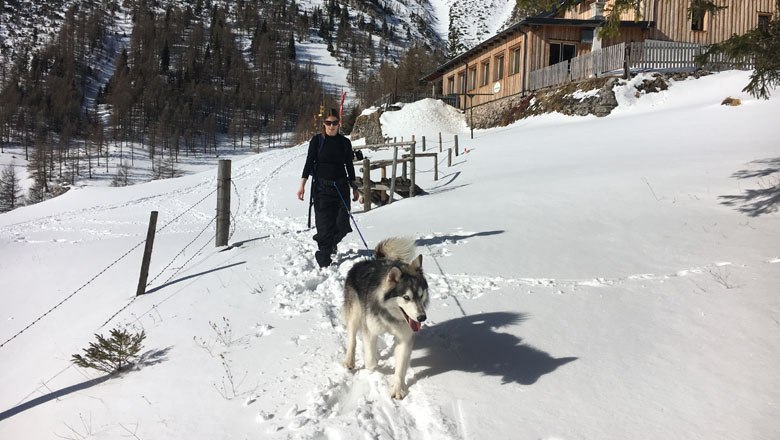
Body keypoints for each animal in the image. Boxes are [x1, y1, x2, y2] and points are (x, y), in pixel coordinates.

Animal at [342, 237, 430, 398]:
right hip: (355, 314)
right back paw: (349, 361)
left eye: (421, 295)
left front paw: (398, 389)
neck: (391, 315)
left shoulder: (405, 337)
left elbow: (400, 367)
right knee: (352, 339)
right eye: (406, 297)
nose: (422, 318)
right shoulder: (370, 330)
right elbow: (370, 361)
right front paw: (373, 366)